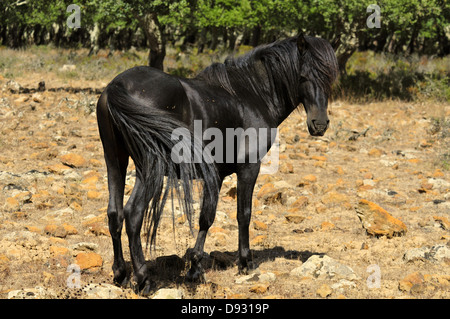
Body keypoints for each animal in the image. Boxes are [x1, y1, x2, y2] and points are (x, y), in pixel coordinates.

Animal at [97, 33, 338, 294]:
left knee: (115, 214)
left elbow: (206, 217)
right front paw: (246, 262)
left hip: (115, 161)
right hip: (149, 168)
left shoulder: (217, 173)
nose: (320, 124)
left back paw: (120, 274)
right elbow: (244, 214)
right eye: (303, 76)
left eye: (328, 78)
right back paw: (143, 279)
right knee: (133, 214)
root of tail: (118, 86)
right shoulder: (249, 167)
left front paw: (195, 268)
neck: (251, 95)